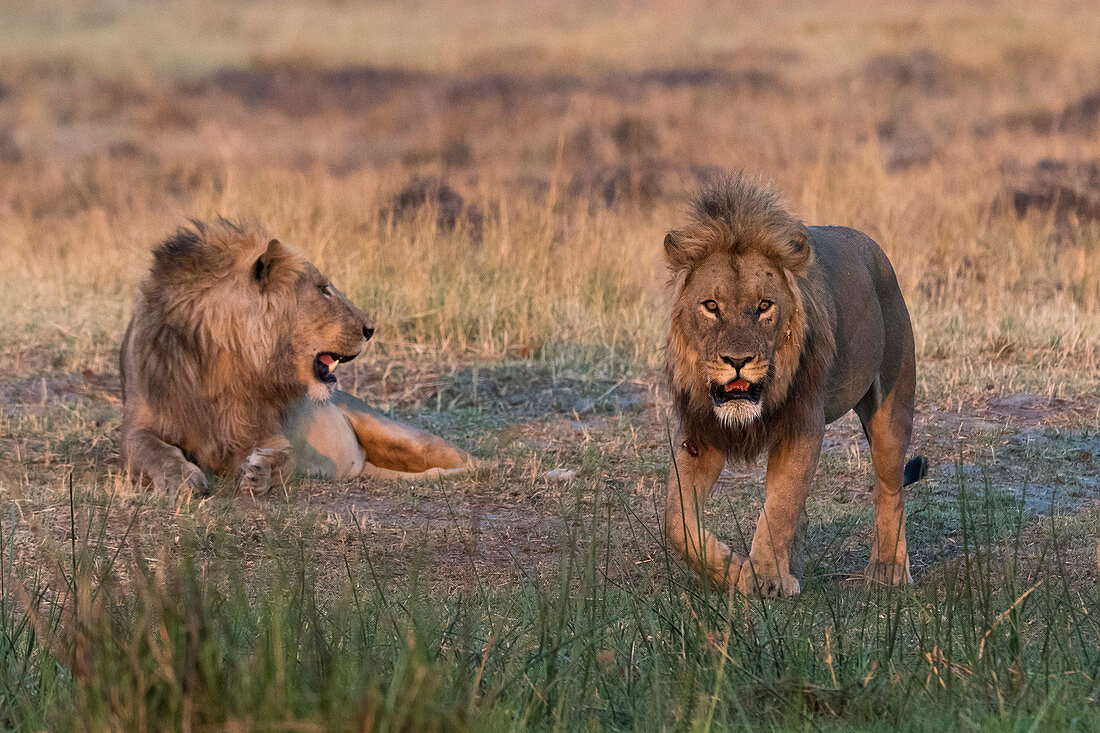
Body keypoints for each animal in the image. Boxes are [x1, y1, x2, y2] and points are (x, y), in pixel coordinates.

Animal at [120, 216, 477, 490]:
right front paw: (181, 479)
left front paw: (260, 471)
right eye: (323, 289)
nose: (371, 329)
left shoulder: (263, 429)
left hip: (403, 436)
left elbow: (286, 454)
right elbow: (152, 451)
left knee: (473, 460)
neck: (223, 360)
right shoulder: (139, 424)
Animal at [660, 176, 928, 594]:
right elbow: (676, 522)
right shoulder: (701, 434)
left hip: (892, 405)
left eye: (764, 306)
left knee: (890, 488)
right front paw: (733, 570)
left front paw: (766, 578)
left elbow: (781, 505)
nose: (737, 361)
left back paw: (889, 569)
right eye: (711, 306)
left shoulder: (803, 425)